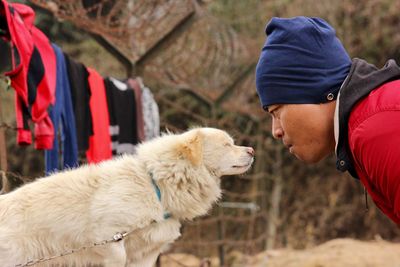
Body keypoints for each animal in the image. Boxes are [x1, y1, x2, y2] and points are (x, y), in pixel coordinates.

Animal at [0, 128, 255, 267]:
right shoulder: (108, 237)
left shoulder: (148, 253)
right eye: (227, 144)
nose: (252, 151)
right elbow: (118, 256)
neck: (155, 184)